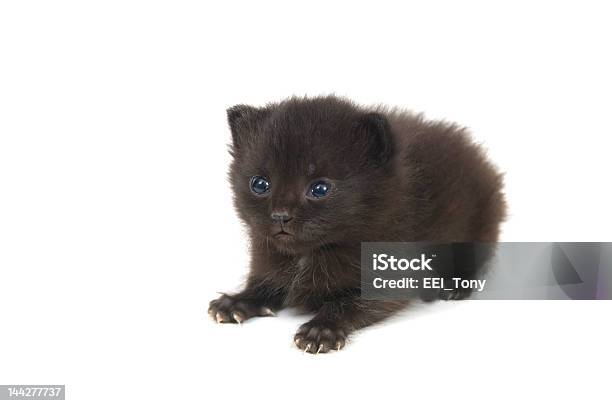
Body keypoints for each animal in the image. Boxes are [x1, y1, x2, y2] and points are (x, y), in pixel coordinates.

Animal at [208, 95, 504, 352]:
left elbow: (349, 303)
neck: (309, 253)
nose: (280, 215)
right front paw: (237, 301)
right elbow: (263, 284)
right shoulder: (267, 256)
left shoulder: (392, 270)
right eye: (260, 184)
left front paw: (321, 330)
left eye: (319, 188)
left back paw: (455, 285)